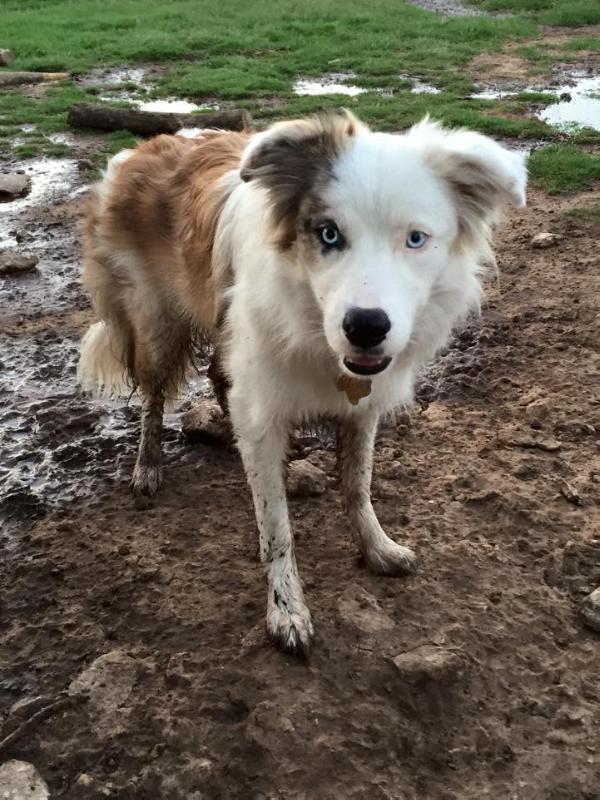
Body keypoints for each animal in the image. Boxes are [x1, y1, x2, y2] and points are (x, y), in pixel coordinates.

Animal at [78, 114, 524, 664]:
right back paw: (147, 467)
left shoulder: (361, 406)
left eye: (415, 239)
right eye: (328, 234)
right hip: (157, 325)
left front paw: (376, 548)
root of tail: (140, 150)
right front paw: (286, 612)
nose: (366, 326)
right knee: (153, 398)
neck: (314, 328)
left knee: (219, 379)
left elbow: (357, 486)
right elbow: (277, 530)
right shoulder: (262, 403)